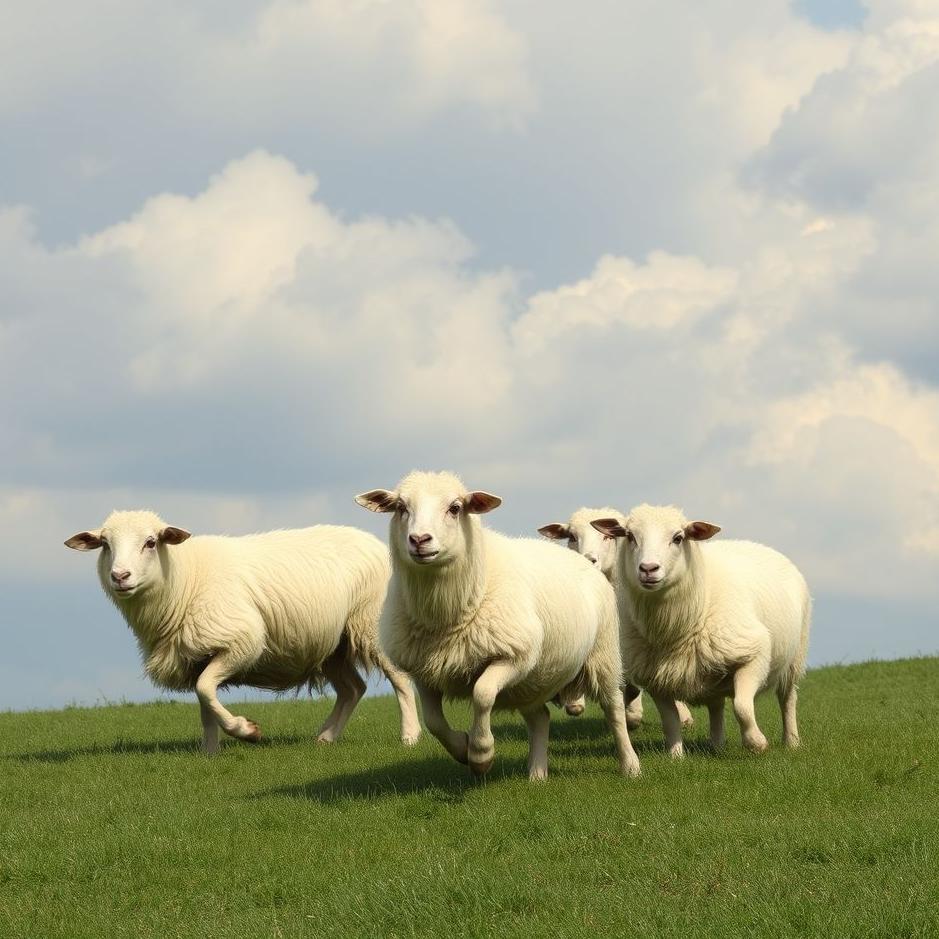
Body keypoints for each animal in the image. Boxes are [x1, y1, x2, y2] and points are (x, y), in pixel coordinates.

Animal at [65, 510, 422, 753]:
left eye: (151, 542)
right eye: (105, 544)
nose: (120, 576)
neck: (182, 580)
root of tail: (374, 542)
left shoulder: (242, 642)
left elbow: (205, 690)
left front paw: (246, 731)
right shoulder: (197, 654)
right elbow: (204, 701)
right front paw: (209, 751)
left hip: (370, 624)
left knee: (400, 679)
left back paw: (410, 736)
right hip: (331, 643)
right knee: (352, 689)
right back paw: (325, 738)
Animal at [356, 471, 641, 781]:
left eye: (455, 508)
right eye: (401, 508)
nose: (419, 539)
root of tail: (583, 560)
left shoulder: (514, 656)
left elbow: (481, 694)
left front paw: (481, 754)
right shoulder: (425, 671)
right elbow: (433, 722)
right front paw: (462, 748)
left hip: (602, 654)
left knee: (614, 709)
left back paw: (630, 765)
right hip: (533, 681)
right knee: (540, 718)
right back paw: (537, 774)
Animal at [591, 504, 810, 757]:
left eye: (678, 538)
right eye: (629, 536)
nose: (648, 569)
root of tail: (760, 545)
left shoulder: (754, 654)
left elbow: (742, 707)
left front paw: (756, 743)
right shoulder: (655, 679)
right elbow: (670, 720)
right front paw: (676, 756)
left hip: (795, 657)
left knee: (787, 697)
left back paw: (791, 741)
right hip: (711, 671)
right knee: (716, 705)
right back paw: (716, 745)